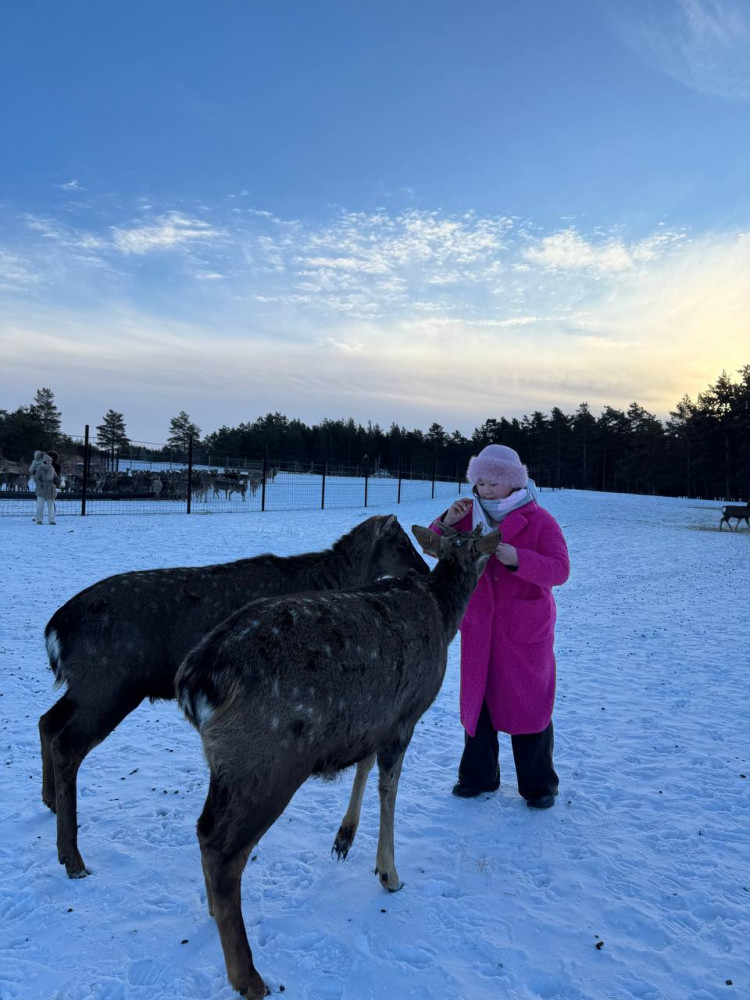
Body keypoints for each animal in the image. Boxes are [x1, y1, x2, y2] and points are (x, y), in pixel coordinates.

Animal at [39, 516, 428, 876]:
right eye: (401, 543)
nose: (424, 569)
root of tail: (54, 629)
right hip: (108, 685)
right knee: (67, 745)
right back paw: (72, 859)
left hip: (86, 687)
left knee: (47, 722)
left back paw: (51, 803)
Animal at [176, 524, 500, 1000]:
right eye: (478, 545)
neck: (444, 616)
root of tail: (193, 682)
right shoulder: (405, 714)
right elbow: (389, 787)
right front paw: (389, 873)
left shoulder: (373, 718)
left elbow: (363, 765)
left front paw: (344, 839)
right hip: (265, 762)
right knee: (224, 850)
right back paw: (249, 977)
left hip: (227, 766)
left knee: (203, 830)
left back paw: (217, 916)